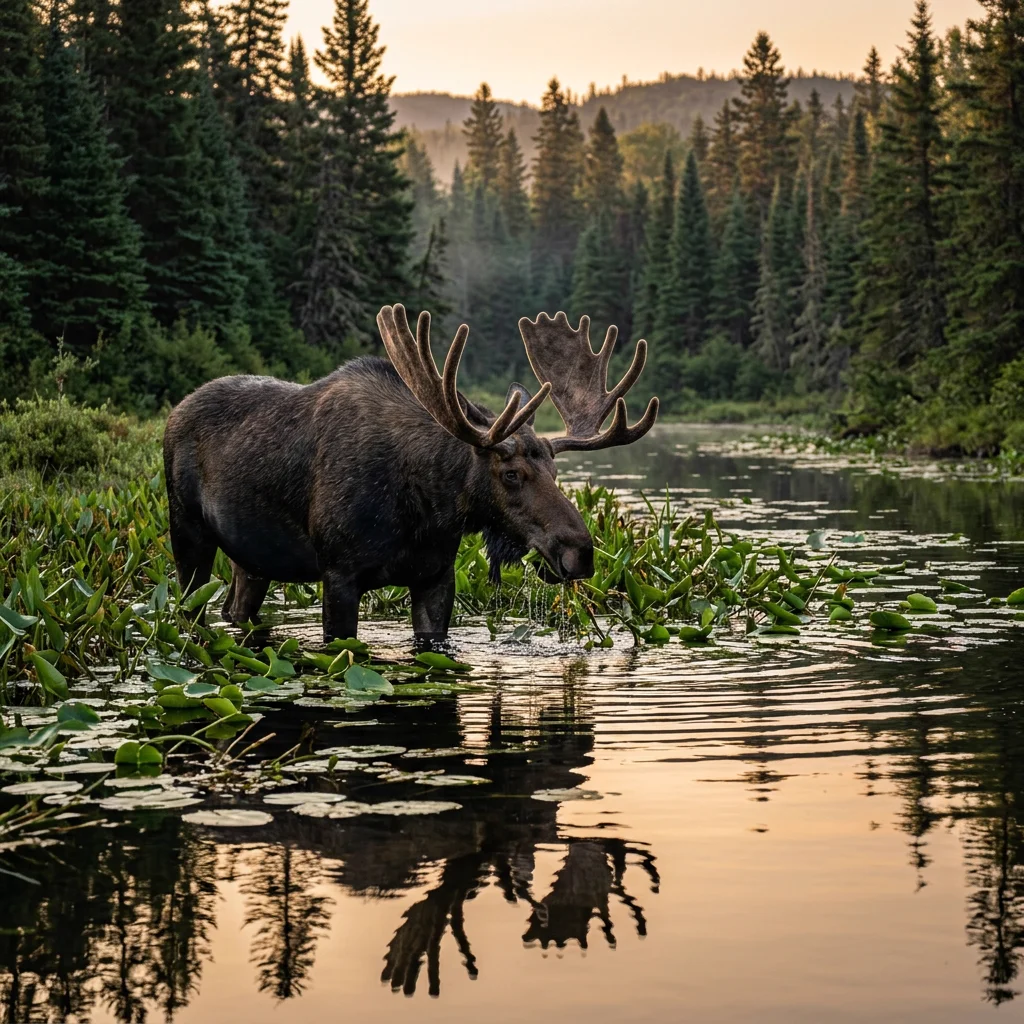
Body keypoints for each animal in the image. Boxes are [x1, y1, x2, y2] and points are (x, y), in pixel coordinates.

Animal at [162, 304, 658, 641]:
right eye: (511, 473)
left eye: (555, 471)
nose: (581, 552)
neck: (427, 508)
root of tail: (175, 412)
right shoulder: (338, 574)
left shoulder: (436, 576)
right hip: (187, 534)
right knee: (188, 604)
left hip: (252, 559)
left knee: (235, 609)